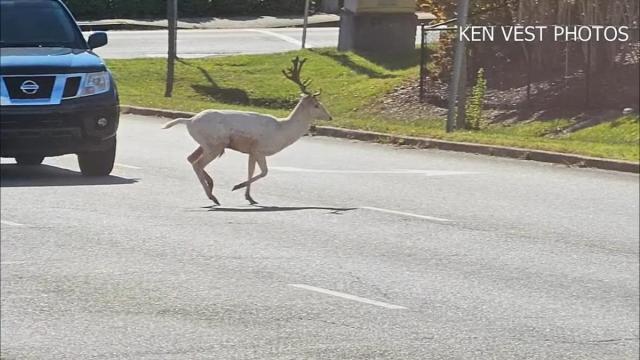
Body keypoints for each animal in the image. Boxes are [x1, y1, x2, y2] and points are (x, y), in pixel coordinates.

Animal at [160, 56, 332, 205]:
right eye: (316, 105)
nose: (330, 116)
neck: (282, 132)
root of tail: (189, 121)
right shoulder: (259, 148)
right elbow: (264, 172)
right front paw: (237, 187)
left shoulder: (251, 151)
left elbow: (251, 170)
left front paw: (249, 196)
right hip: (214, 144)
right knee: (198, 163)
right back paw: (212, 197)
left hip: (205, 143)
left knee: (190, 158)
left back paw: (211, 185)